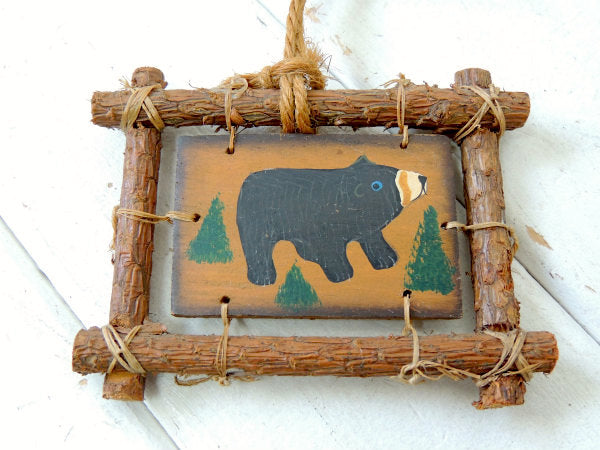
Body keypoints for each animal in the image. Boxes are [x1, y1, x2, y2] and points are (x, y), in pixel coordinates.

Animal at [236, 155, 427, 285]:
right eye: (376, 185)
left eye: (393, 168)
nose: (423, 178)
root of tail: (246, 181)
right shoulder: (323, 231)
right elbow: (329, 253)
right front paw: (343, 274)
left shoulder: (367, 229)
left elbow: (374, 240)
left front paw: (388, 260)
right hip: (254, 224)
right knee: (257, 249)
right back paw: (263, 279)